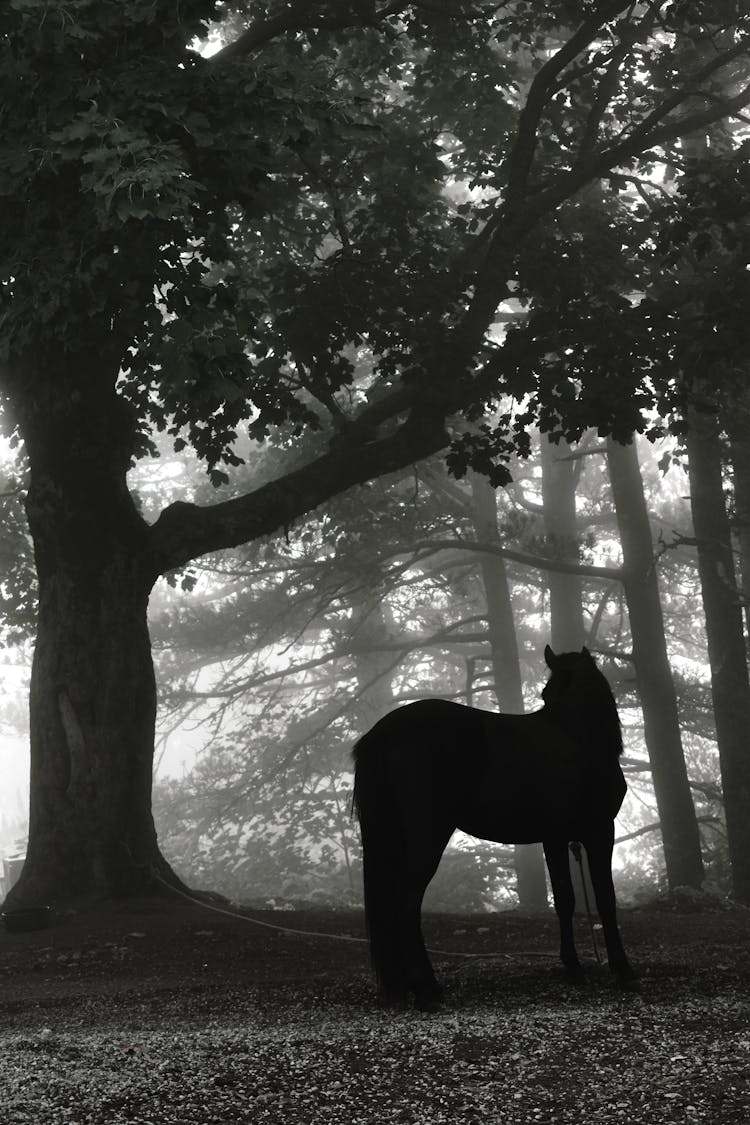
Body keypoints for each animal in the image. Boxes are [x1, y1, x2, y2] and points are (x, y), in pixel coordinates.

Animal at [355, 648, 638, 1008]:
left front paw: (573, 967)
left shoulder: (555, 839)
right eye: (545, 695)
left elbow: (565, 900)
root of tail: (385, 731)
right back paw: (427, 988)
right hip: (428, 836)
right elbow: (605, 898)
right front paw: (622, 968)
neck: (578, 737)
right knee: (406, 903)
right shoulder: (600, 832)